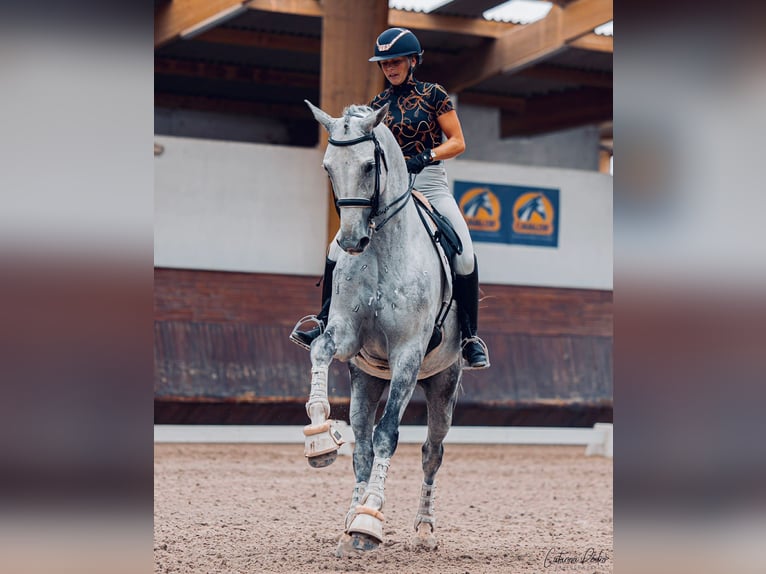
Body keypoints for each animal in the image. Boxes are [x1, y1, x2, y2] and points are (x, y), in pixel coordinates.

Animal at [300, 100, 463, 555]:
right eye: (327, 167)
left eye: (370, 165)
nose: (351, 242)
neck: (381, 250)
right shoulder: (346, 334)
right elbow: (320, 348)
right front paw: (319, 435)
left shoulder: (407, 354)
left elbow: (388, 434)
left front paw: (370, 519)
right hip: (366, 379)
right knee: (362, 446)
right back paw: (347, 524)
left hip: (444, 383)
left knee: (431, 451)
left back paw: (422, 529)